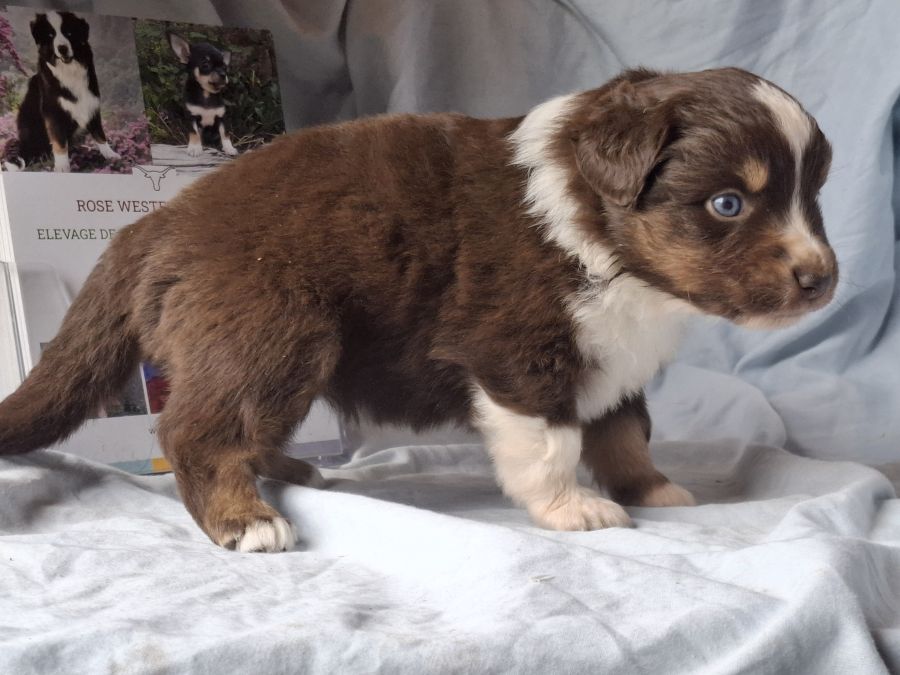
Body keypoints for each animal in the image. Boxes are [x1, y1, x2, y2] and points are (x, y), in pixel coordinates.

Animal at [0, 68, 837, 552]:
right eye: (728, 203)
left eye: (813, 194)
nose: (822, 281)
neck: (596, 230)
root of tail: (150, 226)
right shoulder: (519, 351)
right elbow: (552, 441)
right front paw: (573, 509)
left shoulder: (615, 355)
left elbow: (625, 430)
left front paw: (652, 488)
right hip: (269, 330)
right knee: (196, 429)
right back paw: (248, 520)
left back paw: (291, 471)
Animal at [11, 11, 119, 172]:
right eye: (50, 35)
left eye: (69, 33)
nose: (62, 48)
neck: (69, 71)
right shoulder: (53, 112)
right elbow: (59, 141)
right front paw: (62, 167)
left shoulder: (91, 105)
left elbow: (99, 133)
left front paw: (110, 154)